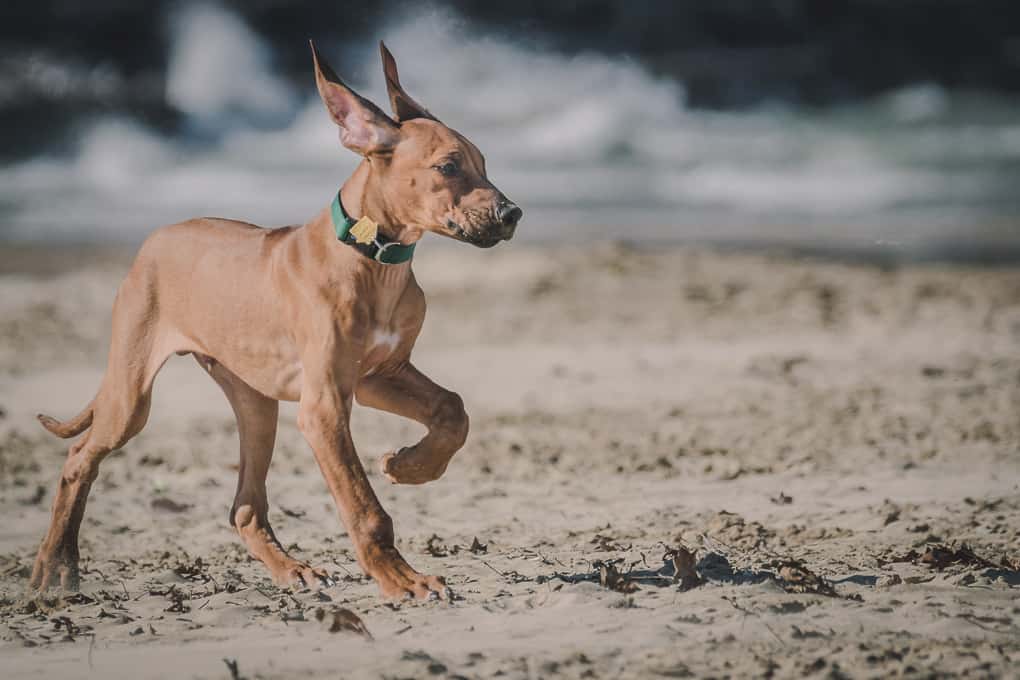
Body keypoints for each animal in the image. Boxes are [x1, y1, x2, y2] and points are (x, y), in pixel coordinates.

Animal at [29, 41, 526, 599]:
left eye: (482, 164)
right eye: (448, 167)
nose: (512, 214)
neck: (374, 259)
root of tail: (153, 241)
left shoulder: (378, 376)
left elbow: (453, 409)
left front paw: (409, 466)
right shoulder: (324, 406)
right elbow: (365, 508)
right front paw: (404, 579)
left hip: (255, 403)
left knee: (245, 506)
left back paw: (291, 569)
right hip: (130, 396)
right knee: (79, 458)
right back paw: (55, 567)